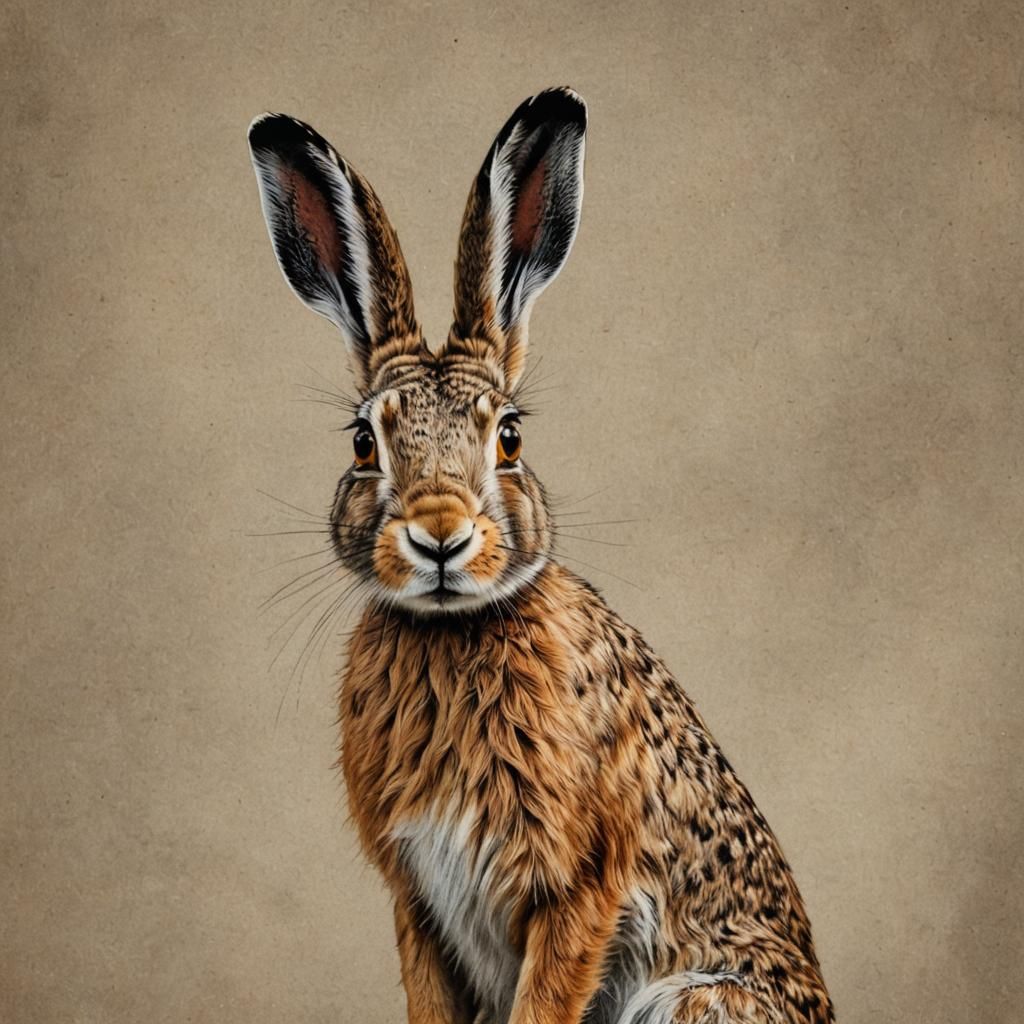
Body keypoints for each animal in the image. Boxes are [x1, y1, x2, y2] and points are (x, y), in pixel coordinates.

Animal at [248, 87, 835, 1024]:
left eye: (511, 439)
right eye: (363, 444)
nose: (440, 534)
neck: (453, 631)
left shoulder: (577, 891)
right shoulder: (420, 902)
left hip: (697, 1003)